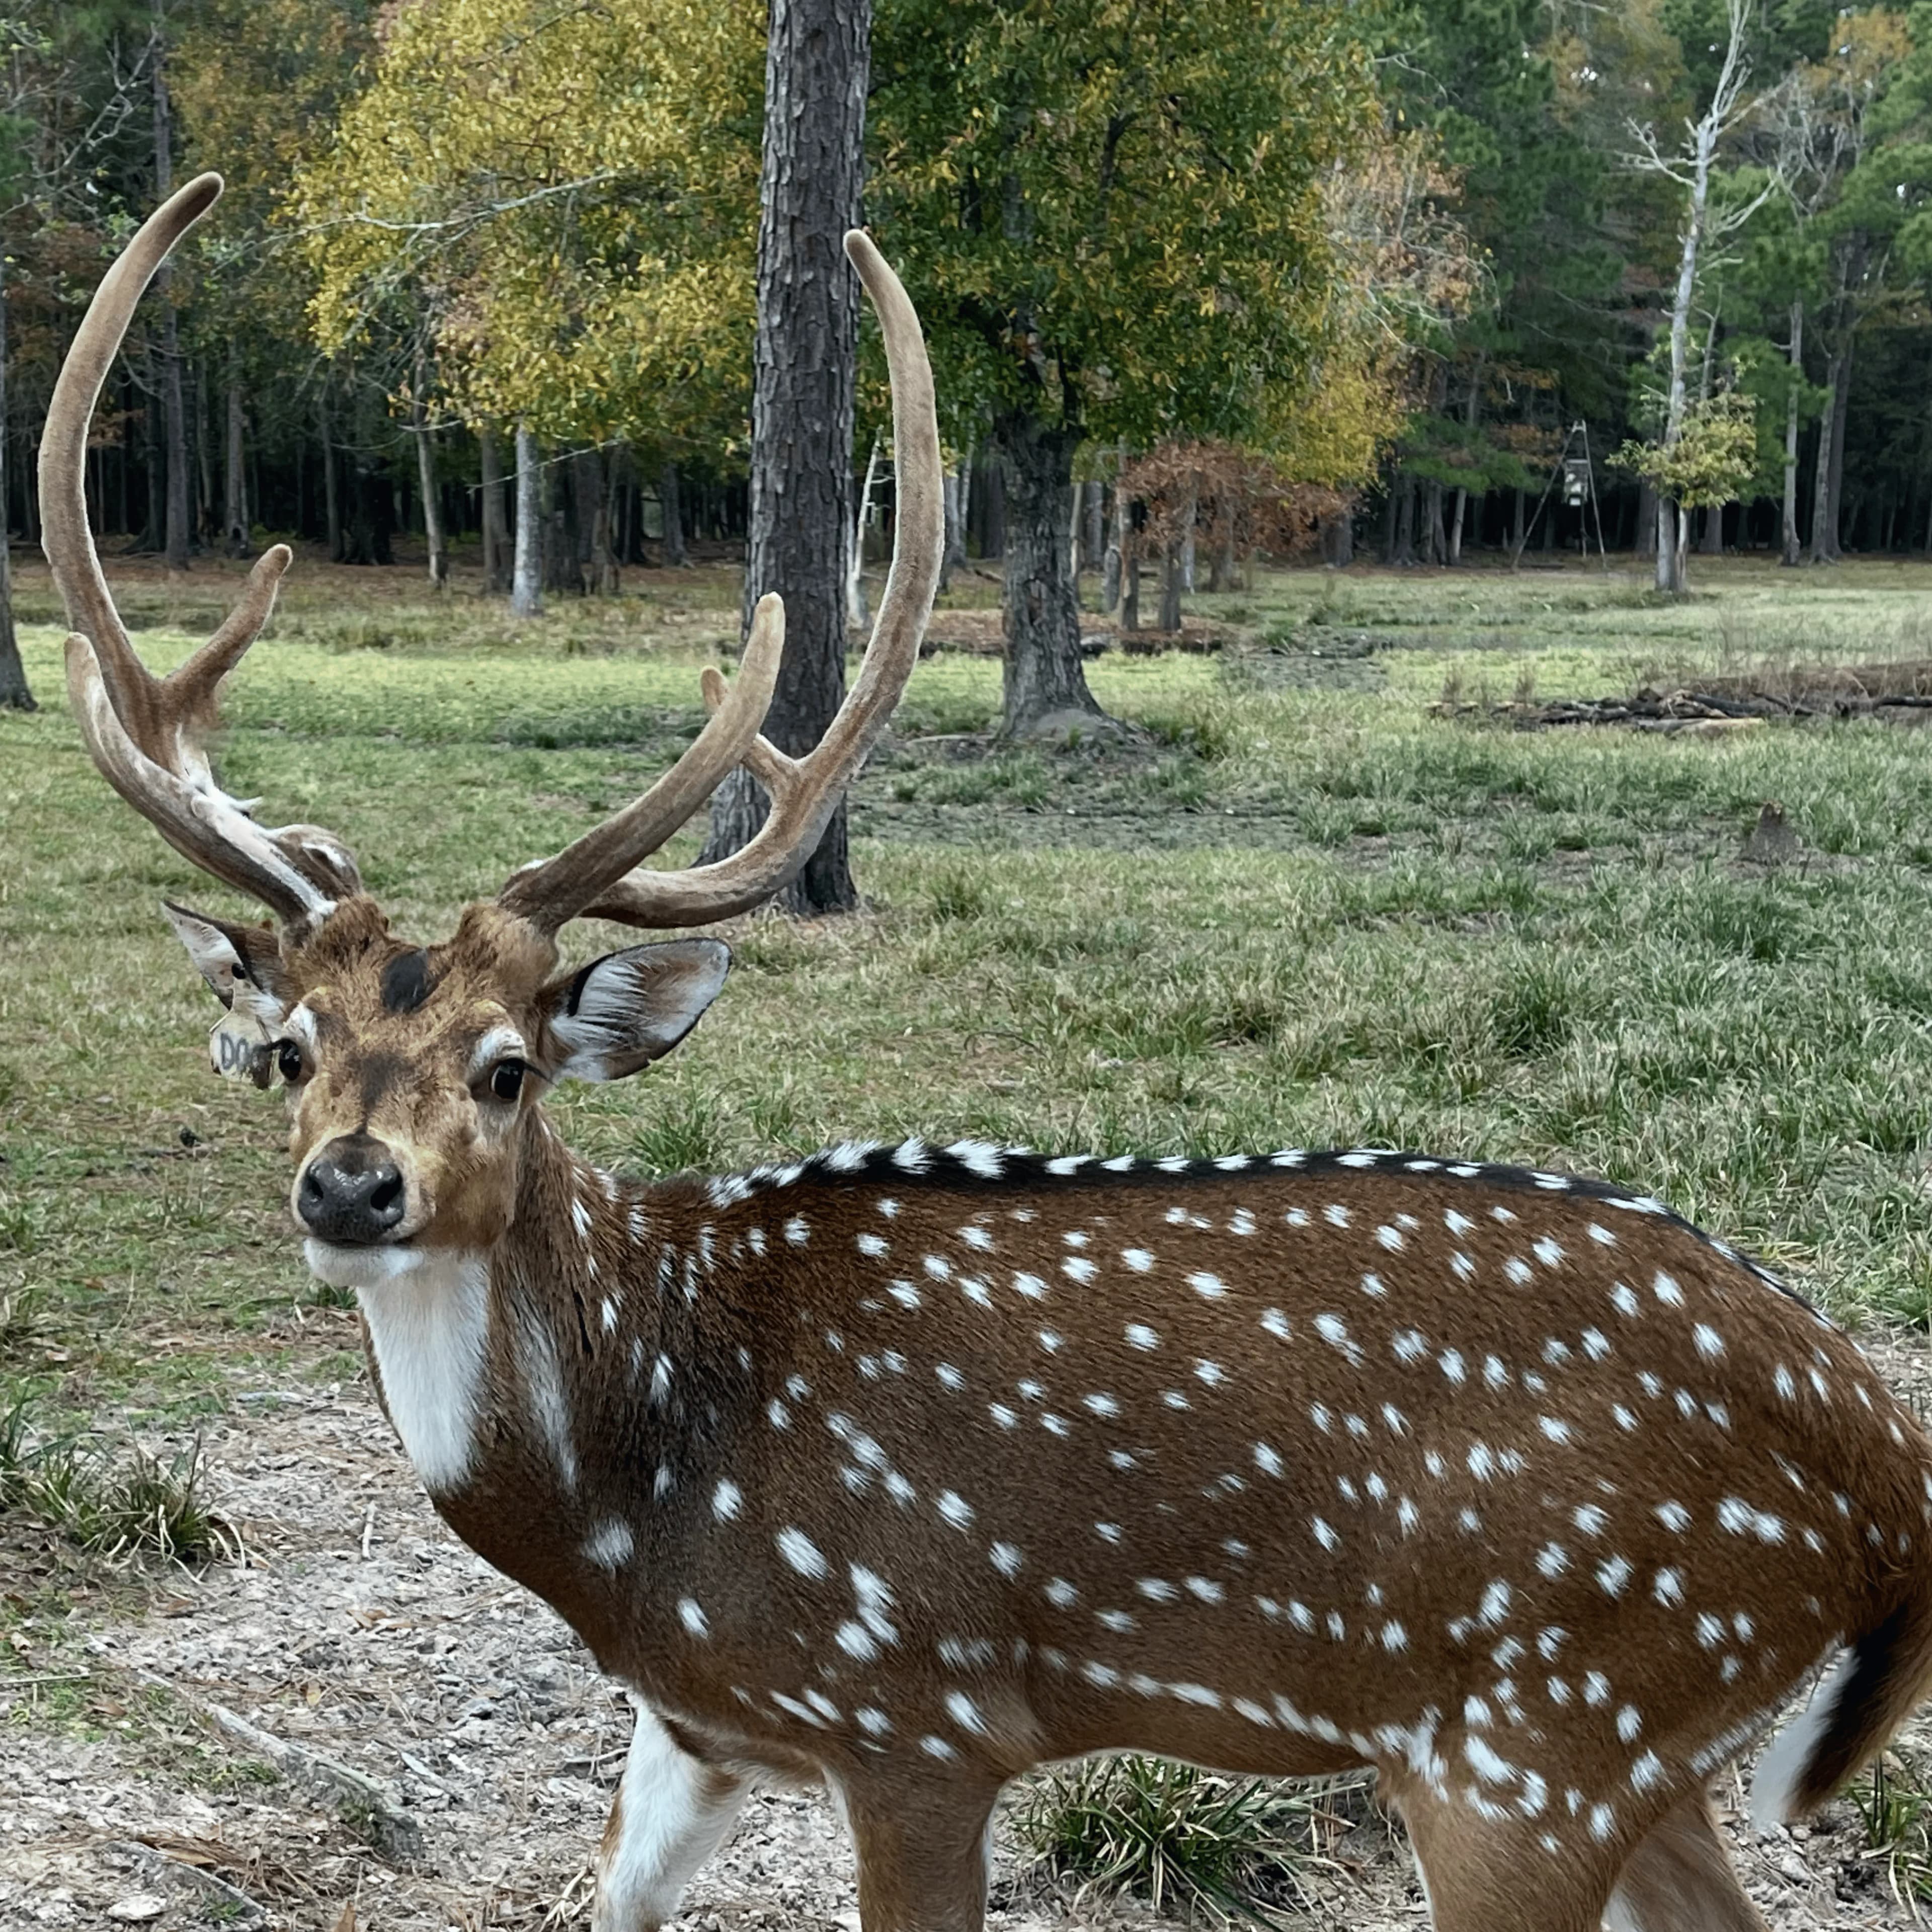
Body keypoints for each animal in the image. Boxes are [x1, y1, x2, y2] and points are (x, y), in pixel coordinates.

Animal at [44, 175, 1932, 1932]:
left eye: (511, 1066)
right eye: (292, 1047)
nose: (354, 1188)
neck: (633, 1514)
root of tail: (1887, 1469)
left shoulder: (916, 1712)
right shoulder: (693, 1725)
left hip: (1534, 1729)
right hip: (1630, 1747)